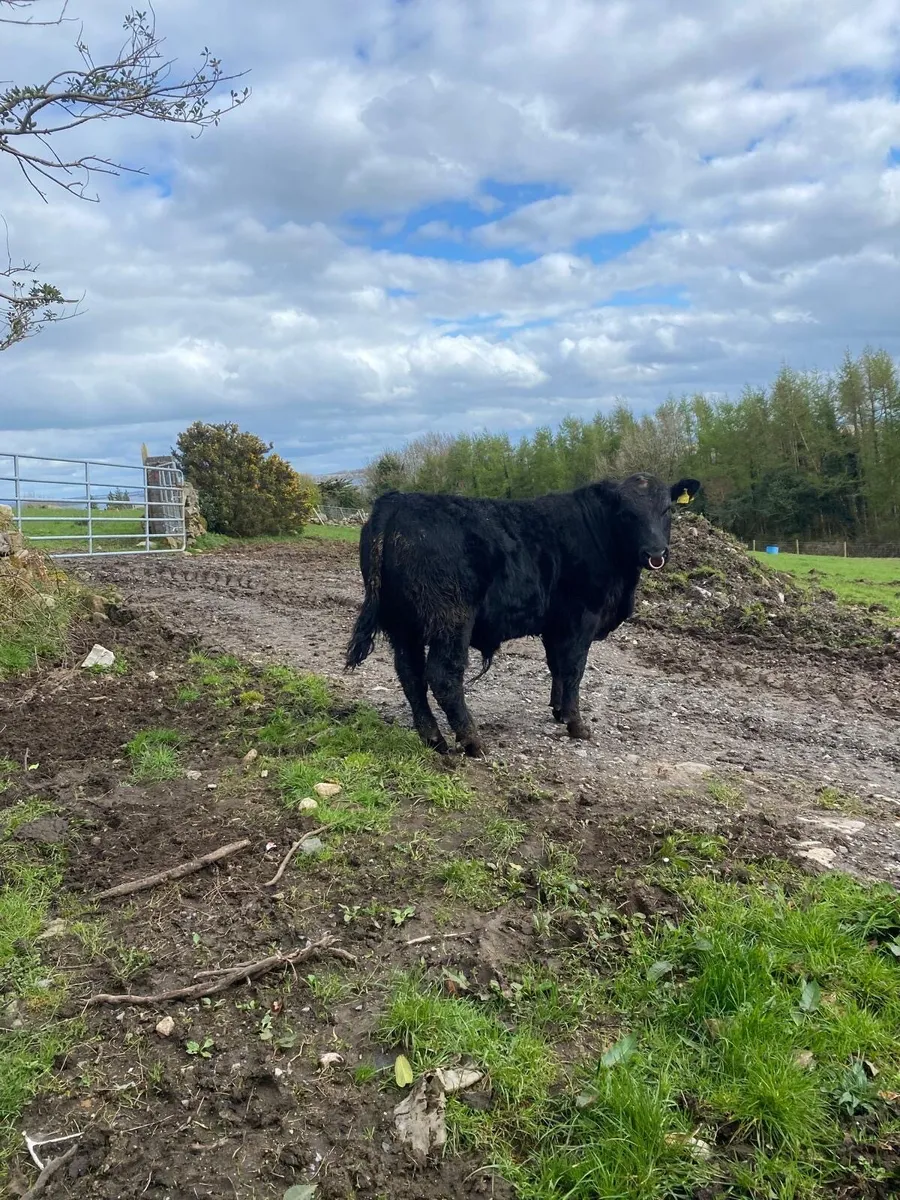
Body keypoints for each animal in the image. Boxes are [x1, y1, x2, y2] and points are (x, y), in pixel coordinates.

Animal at [345, 473, 701, 757]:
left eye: (667, 509)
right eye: (627, 514)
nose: (655, 553)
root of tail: (398, 500)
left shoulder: (555, 624)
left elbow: (557, 667)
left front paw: (558, 711)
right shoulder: (581, 617)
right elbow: (574, 669)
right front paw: (577, 725)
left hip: (402, 625)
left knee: (411, 676)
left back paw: (435, 740)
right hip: (450, 619)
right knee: (442, 675)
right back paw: (472, 741)